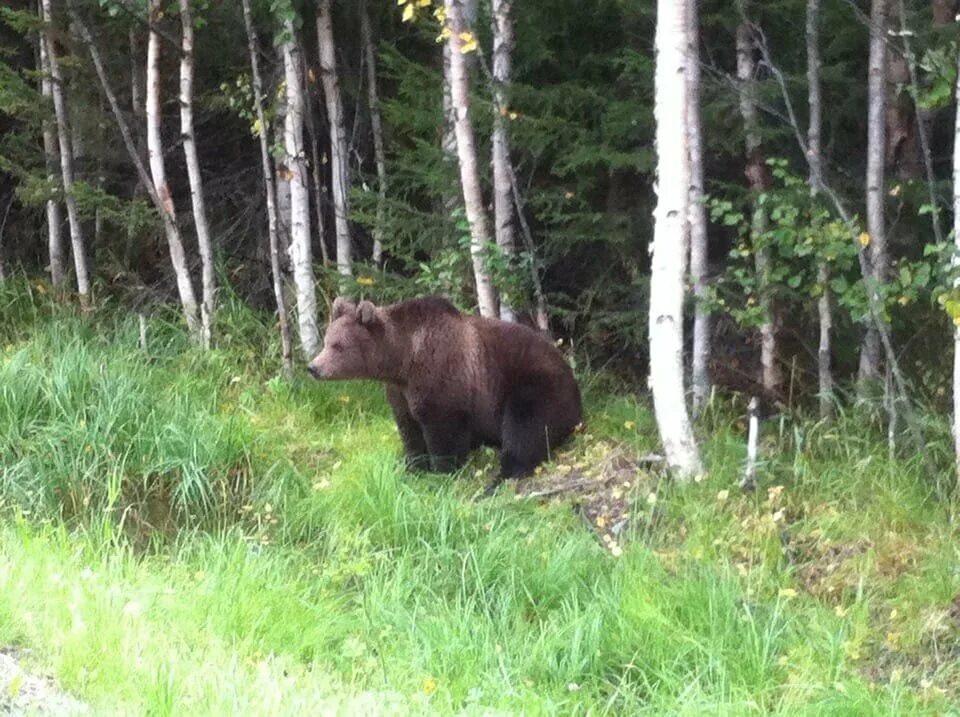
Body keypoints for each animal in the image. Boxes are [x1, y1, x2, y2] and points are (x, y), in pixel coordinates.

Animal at [308, 294, 580, 484]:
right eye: (327, 341)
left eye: (338, 346)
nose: (313, 367)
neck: (403, 359)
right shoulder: (400, 391)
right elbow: (409, 428)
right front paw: (413, 466)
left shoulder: (442, 377)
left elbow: (443, 430)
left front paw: (442, 472)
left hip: (534, 385)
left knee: (526, 427)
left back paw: (501, 476)